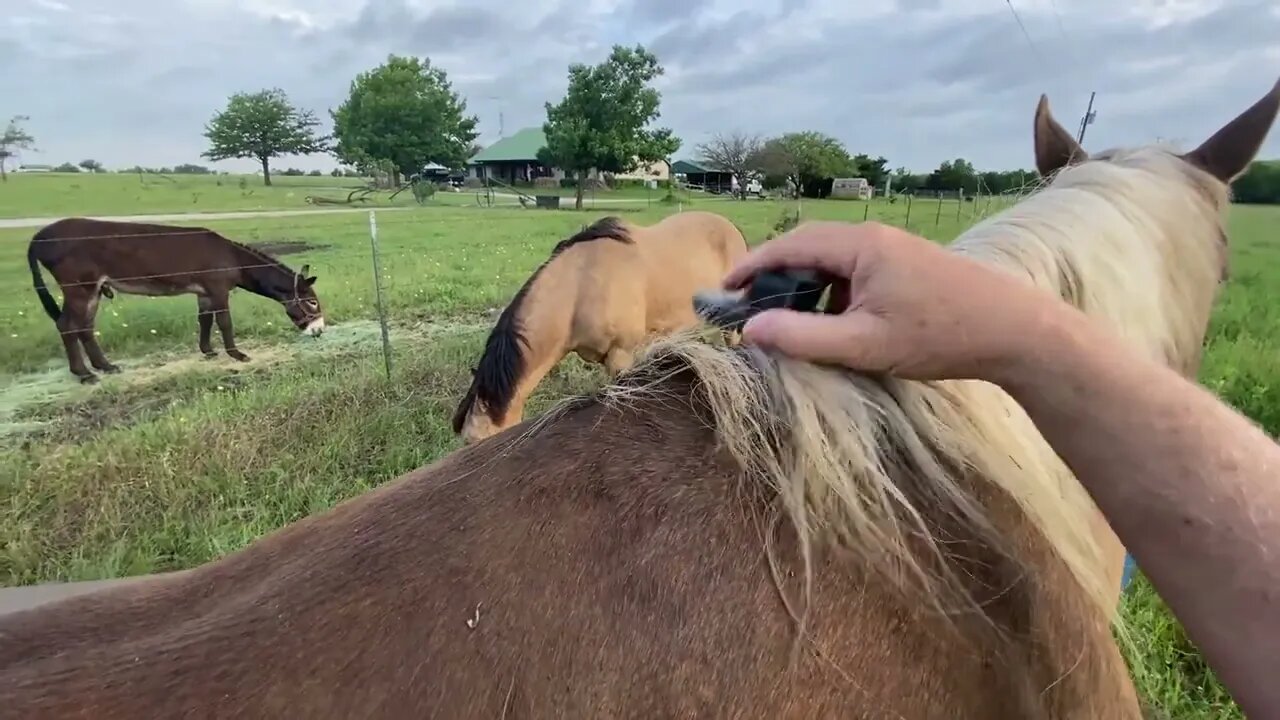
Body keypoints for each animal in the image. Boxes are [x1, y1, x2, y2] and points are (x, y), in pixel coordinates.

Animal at [27, 217, 325, 381]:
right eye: (312, 302)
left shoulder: (204, 293)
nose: (320, 331)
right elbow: (224, 322)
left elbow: (204, 321)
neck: (234, 259)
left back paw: (105, 367)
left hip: (92, 289)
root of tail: (38, 238)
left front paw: (208, 351)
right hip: (79, 287)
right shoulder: (218, 289)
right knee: (67, 325)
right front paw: (237, 355)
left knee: (85, 326)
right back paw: (85, 374)